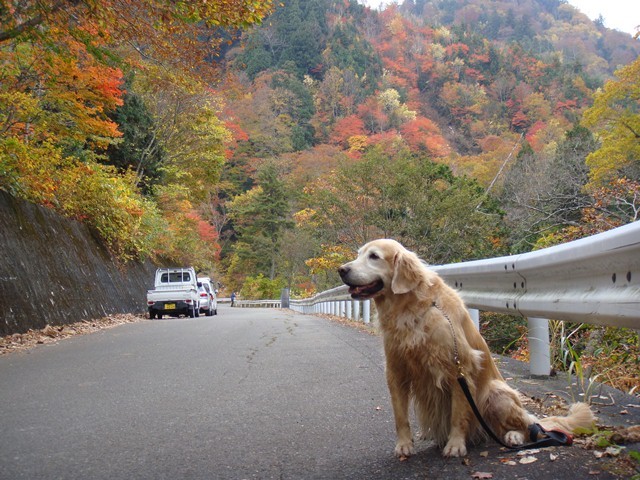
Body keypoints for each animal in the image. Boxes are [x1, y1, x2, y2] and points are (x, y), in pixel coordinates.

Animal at [338, 240, 592, 458]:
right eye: (359, 254)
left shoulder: (460, 368)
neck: (412, 311)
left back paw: (514, 436)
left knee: (527, 428)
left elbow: (458, 414)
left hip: (496, 394)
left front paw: (455, 445)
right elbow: (400, 416)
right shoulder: (396, 370)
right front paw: (404, 445)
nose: (341, 270)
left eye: (374, 256)